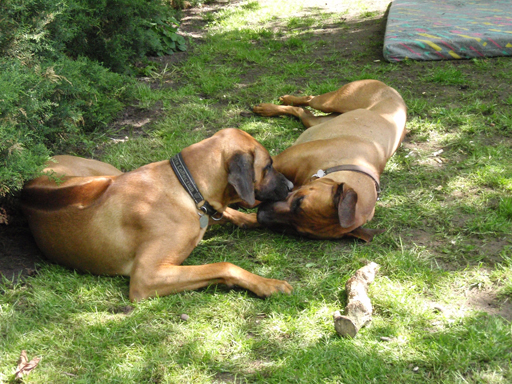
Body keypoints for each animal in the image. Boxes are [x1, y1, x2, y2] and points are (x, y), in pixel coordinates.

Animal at [21, 130, 292, 302]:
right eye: (268, 166)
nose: (290, 186)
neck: (186, 185)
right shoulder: (146, 276)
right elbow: (224, 265)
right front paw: (268, 283)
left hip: (109, 172)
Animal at [224, 80, 408, 242]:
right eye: (299, 201)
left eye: (296, 230)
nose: (263, 214)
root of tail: (394, 92)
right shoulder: (276, 164)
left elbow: (249, 207)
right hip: (332, 101)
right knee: (309, 99)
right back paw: (277, 103)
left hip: (318, 120)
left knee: (303, 112)